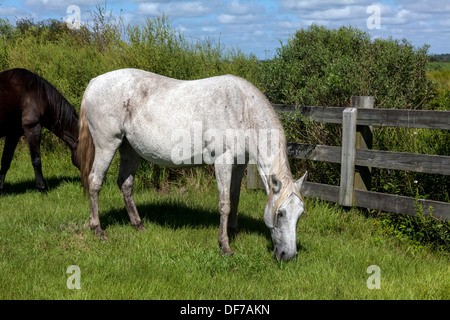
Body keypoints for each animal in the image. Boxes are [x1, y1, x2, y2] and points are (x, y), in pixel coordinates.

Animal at [79, 68, 308, 260]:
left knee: (125, 184)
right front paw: (225, 246)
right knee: (95, 182)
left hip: (129, 148)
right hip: (107, 144)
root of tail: (94, 81)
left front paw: (234, 232)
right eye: (280, 213)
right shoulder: (223, 161)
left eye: (300, 214)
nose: (288, 255)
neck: (242, 108)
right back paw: (98, 230)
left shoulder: (239, 164)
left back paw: (138, 225)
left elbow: (234, 198)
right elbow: (224, 204)